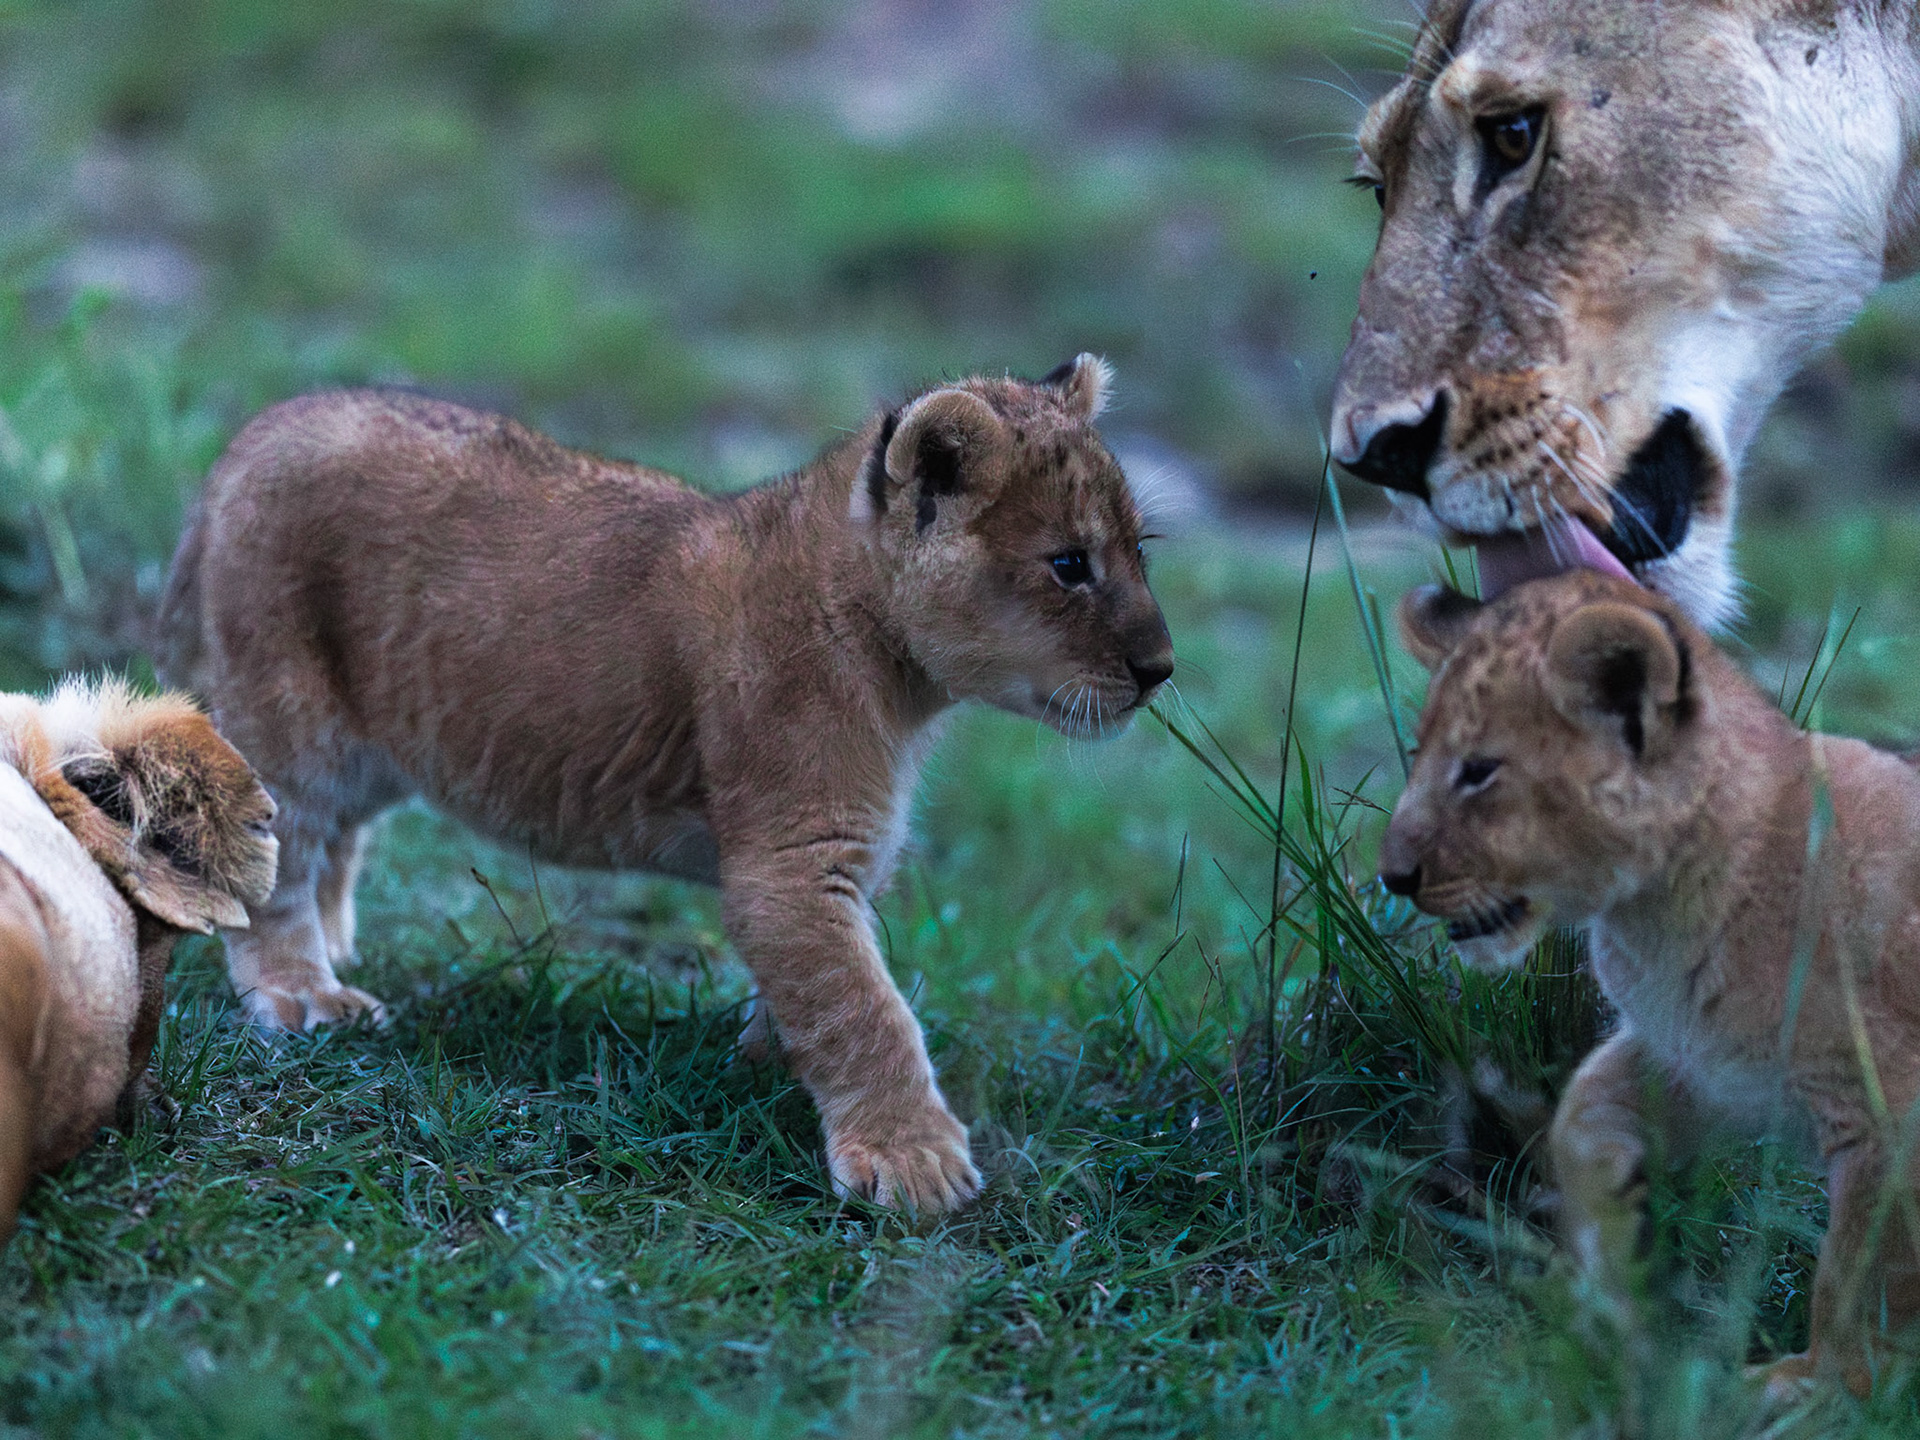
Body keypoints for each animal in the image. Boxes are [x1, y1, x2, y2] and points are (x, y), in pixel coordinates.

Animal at [156, 356, 1174, 1214]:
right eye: (1069, 565)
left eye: (1140, 551)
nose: (1161, 670)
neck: (901, 673)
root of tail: (249, 439)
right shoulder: (791, 859)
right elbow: (865, 1007)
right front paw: (912, 1157)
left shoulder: (834, 859)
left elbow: (819, 989)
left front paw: (765, 1067)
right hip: (295, 722)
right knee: (275, 853)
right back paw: (303, 991)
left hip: (382, 739)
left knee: (336, 835)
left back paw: (335, 943)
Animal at [1380, 567, 1920, 1397]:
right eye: (1417, 754)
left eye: (1478, 772)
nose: (1395, 877)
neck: (1660, 910)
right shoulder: (1705, 1058)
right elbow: (1583, 1106)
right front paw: (1612, 1250)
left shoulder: (1887, 1109)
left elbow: (1860, 1273)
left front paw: (1822, 1388)